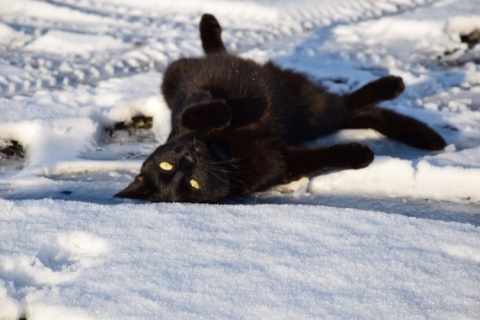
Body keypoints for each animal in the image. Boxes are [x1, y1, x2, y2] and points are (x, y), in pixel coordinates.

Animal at [115, 14, 446, 202]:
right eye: (192, 184)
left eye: (166, 165)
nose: (189, 158)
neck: (224, 152)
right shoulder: (282, 164)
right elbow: (323, 158)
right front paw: (360, 155)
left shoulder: (187, 108)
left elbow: (197, 111)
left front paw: (225, 111)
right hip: (312, 112)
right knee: (348, 108)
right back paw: (402, 100)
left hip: (175, 73)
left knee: (215, 51)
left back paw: (209, 24)